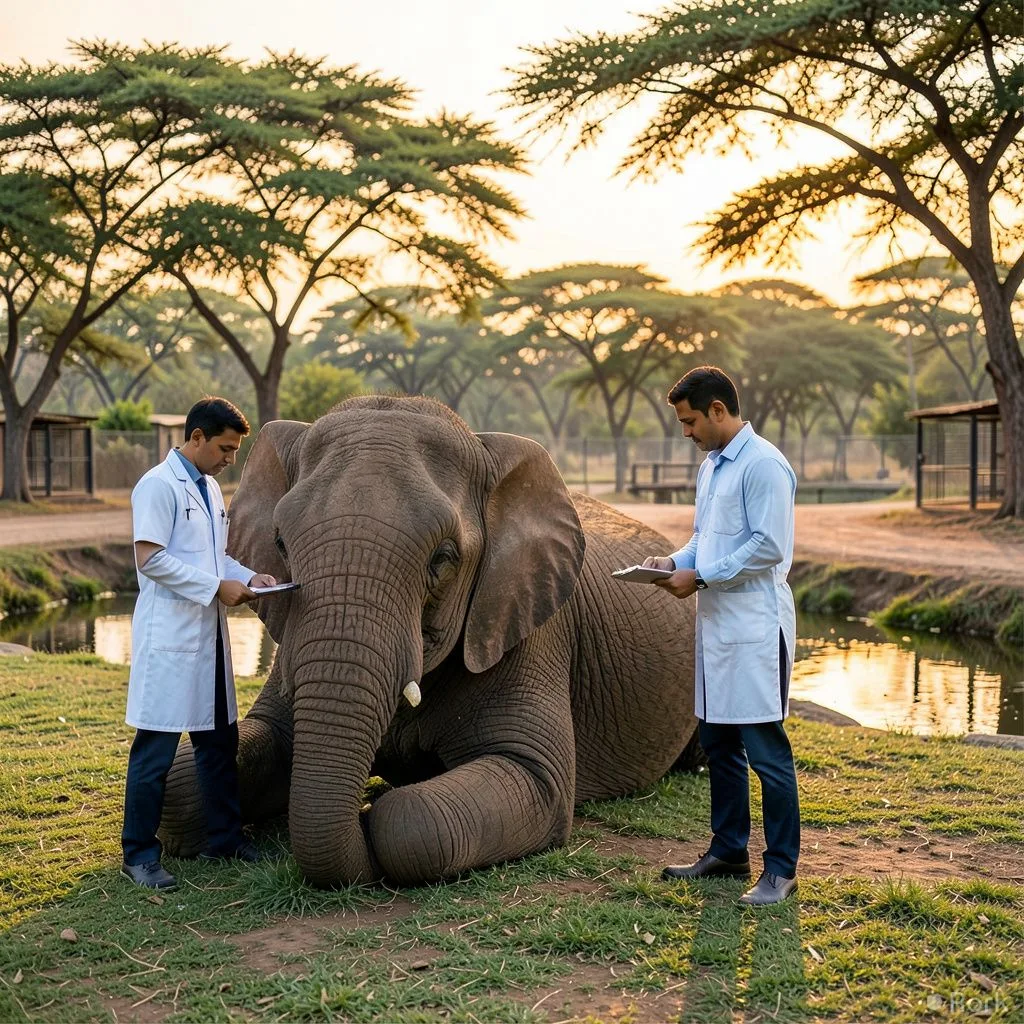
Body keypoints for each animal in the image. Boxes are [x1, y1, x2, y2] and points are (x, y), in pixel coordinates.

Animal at [159, 396, 699, 886]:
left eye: (443, 557)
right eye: (281, 545)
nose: (360, 803)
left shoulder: (528, 632)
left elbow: (449, 807)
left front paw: (375, 813)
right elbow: (188, 779)